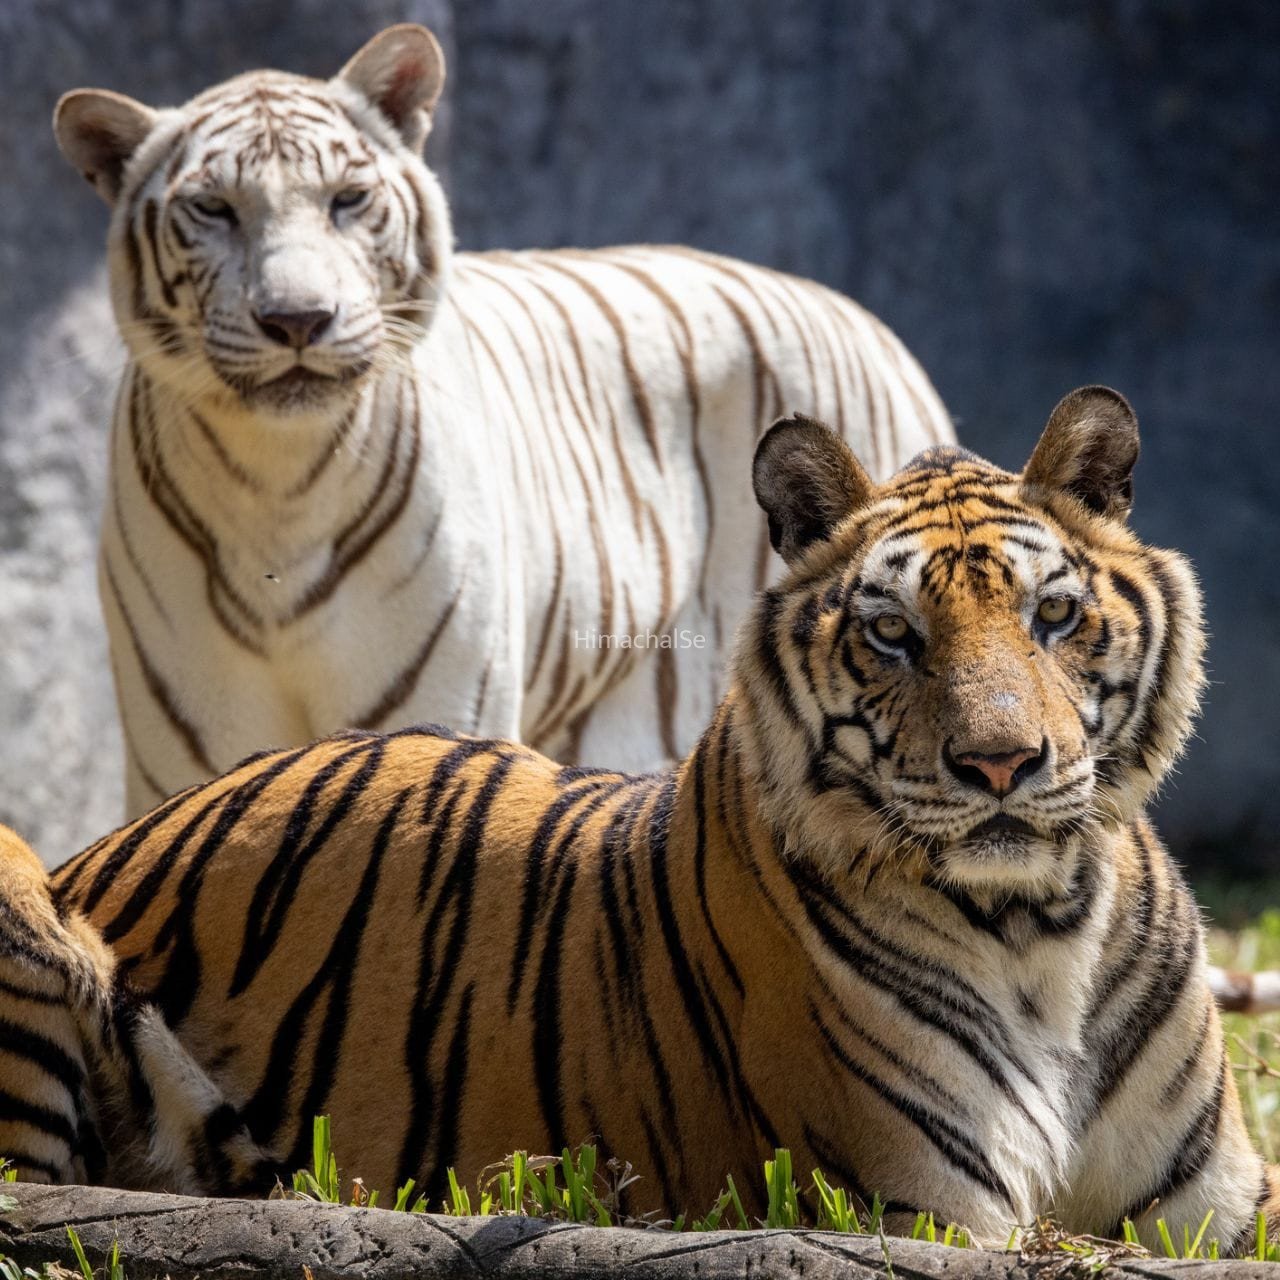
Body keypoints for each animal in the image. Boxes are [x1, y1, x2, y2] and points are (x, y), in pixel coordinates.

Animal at [15, 385, 1271, 1248]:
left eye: (1052, 616)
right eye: (891, 632)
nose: (1000, 763)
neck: (1041, 924)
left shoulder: (1215, 1201)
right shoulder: (917, 1202)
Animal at [52, 23, 954, 822]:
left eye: (348, 201)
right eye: (212, 209)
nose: (298, 319)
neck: (279, 477)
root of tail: (872, 325)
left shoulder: (438, 697)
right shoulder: (186, 739)